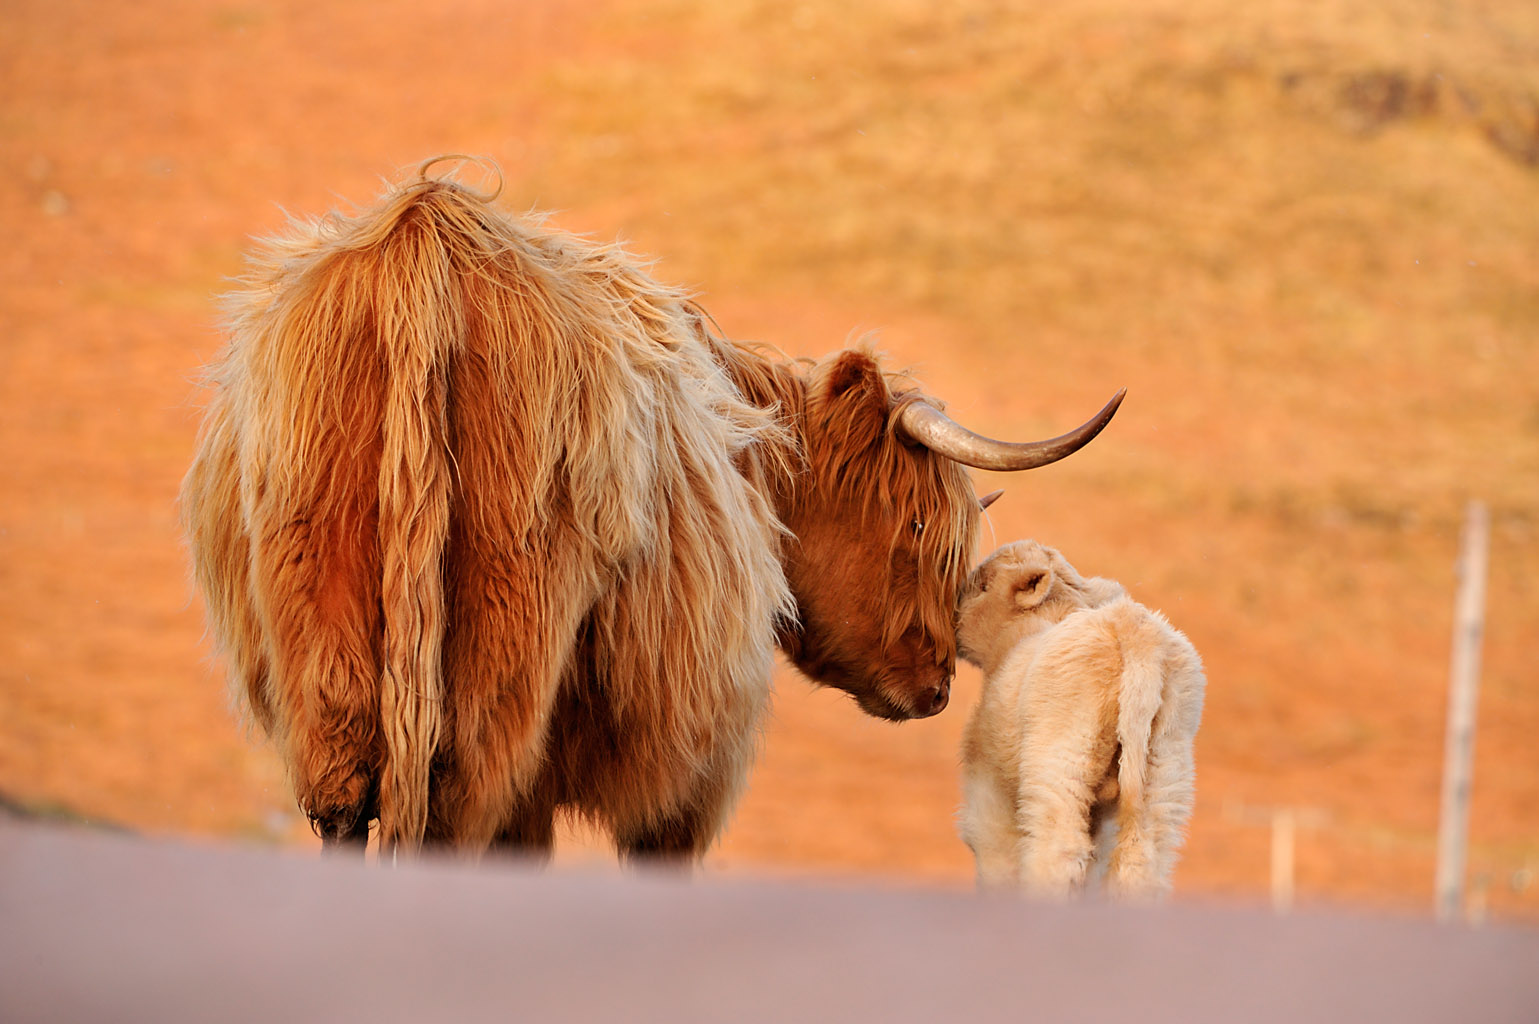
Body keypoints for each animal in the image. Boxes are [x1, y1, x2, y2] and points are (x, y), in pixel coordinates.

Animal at [181, 161, 1123, 862]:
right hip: (495, 688)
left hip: (331, 677)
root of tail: (426, 238)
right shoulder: (683, 771)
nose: (936, 684)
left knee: (350, 815)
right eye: (921, 526)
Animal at [955, 540, 1206, 900]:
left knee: (1059, 851)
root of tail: (1136, 638)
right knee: (1142, 861)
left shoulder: (990, 784)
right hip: (1166, 763)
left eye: (984, 584)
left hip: (1063, 757)